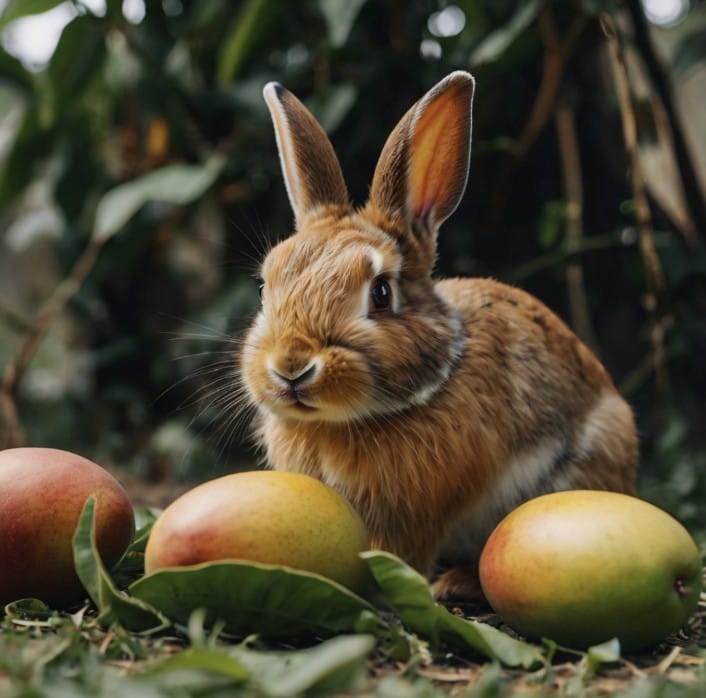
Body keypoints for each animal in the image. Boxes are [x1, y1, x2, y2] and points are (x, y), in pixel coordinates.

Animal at [238, 72, 640, 600]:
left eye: (381, 293)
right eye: (266, 286)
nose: (291, 366)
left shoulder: (416, 508)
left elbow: (400, 548)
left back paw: (457, 582)